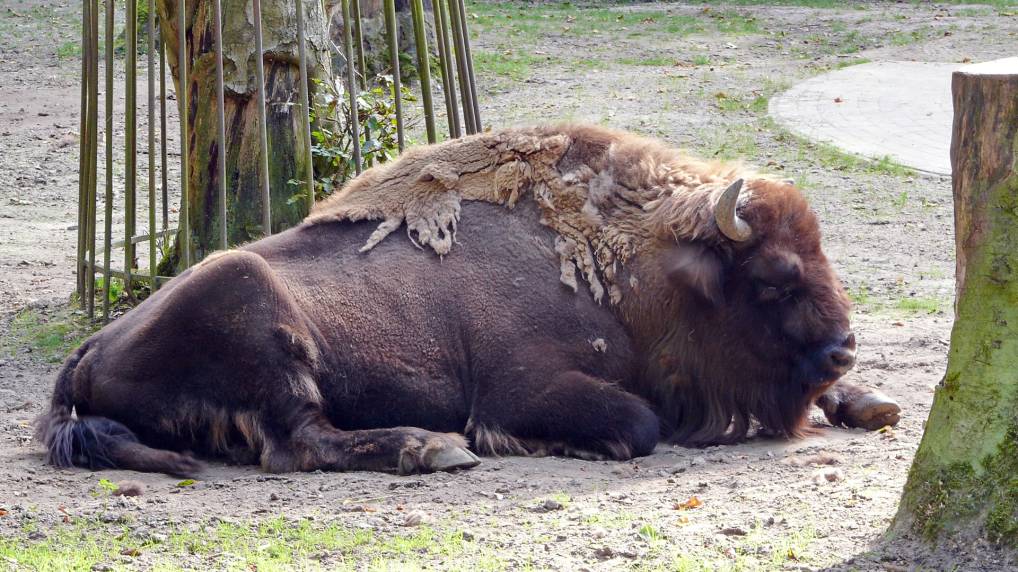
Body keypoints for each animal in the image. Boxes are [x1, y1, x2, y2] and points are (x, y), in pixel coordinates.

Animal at [35, 123, 903, 472]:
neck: (634, 266)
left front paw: (872, 402)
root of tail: (87, 352)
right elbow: (639, 422)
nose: (843, 348)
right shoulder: (521, 389)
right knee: (302, 442)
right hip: (256, 314)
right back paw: (432, 448)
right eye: (774, 278)